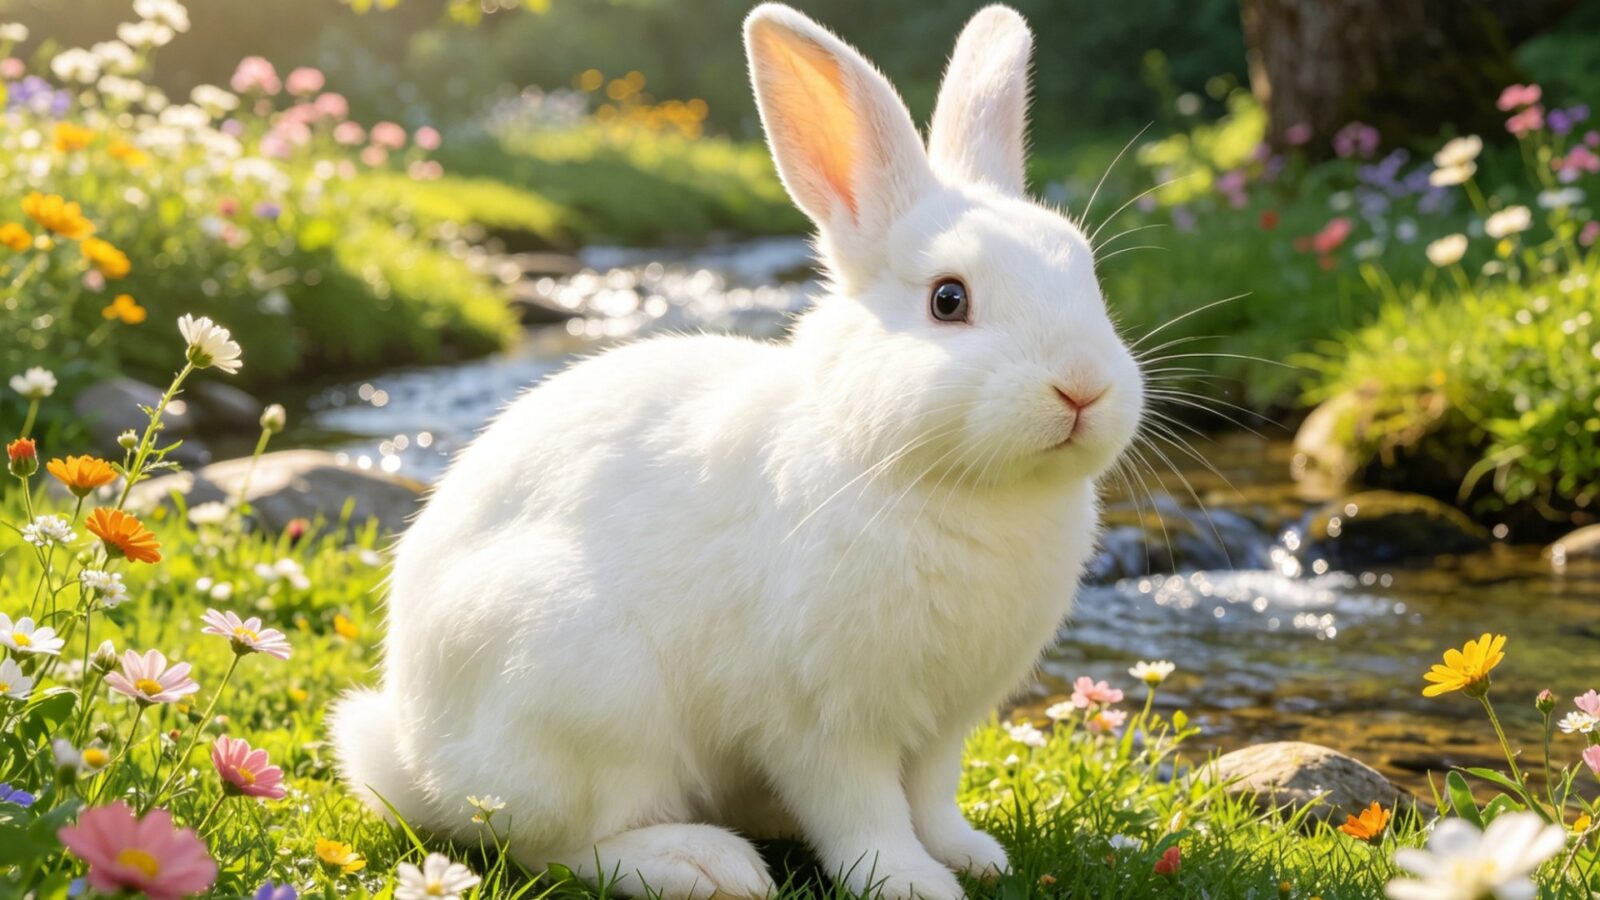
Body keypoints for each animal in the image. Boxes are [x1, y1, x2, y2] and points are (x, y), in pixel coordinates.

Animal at [328, 4, 1145, 899]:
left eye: (1088, 274)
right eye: (948, 300)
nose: (1083, 388)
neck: (934, 476)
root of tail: (413, 758)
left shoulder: (943, 726)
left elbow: (930, 797)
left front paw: (970, 855)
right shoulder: (824, 719)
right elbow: (863, 811)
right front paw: (910, 882)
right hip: (581, 688)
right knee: (554, 845)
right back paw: (705, 865)